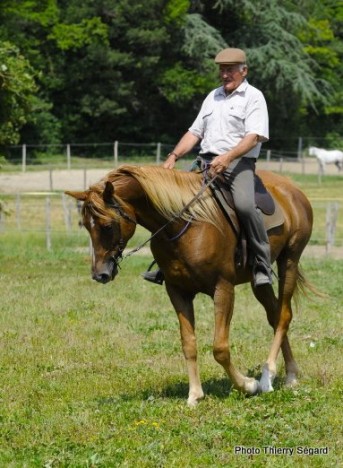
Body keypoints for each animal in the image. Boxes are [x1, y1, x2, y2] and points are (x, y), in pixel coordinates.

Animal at [66, 165, 314, 406]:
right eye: (85, 226)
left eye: (107, 226)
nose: (100, 274)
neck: (185, 225)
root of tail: (293, 190)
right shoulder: (178, 291)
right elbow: (188, 343)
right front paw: (195, 394)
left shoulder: (223, 288)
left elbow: (220, 348)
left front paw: (247, 385)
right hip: (259, 282)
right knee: (275, 316)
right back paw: (281, 374)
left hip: (289, 261)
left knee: (284, 316)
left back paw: (276, 376)